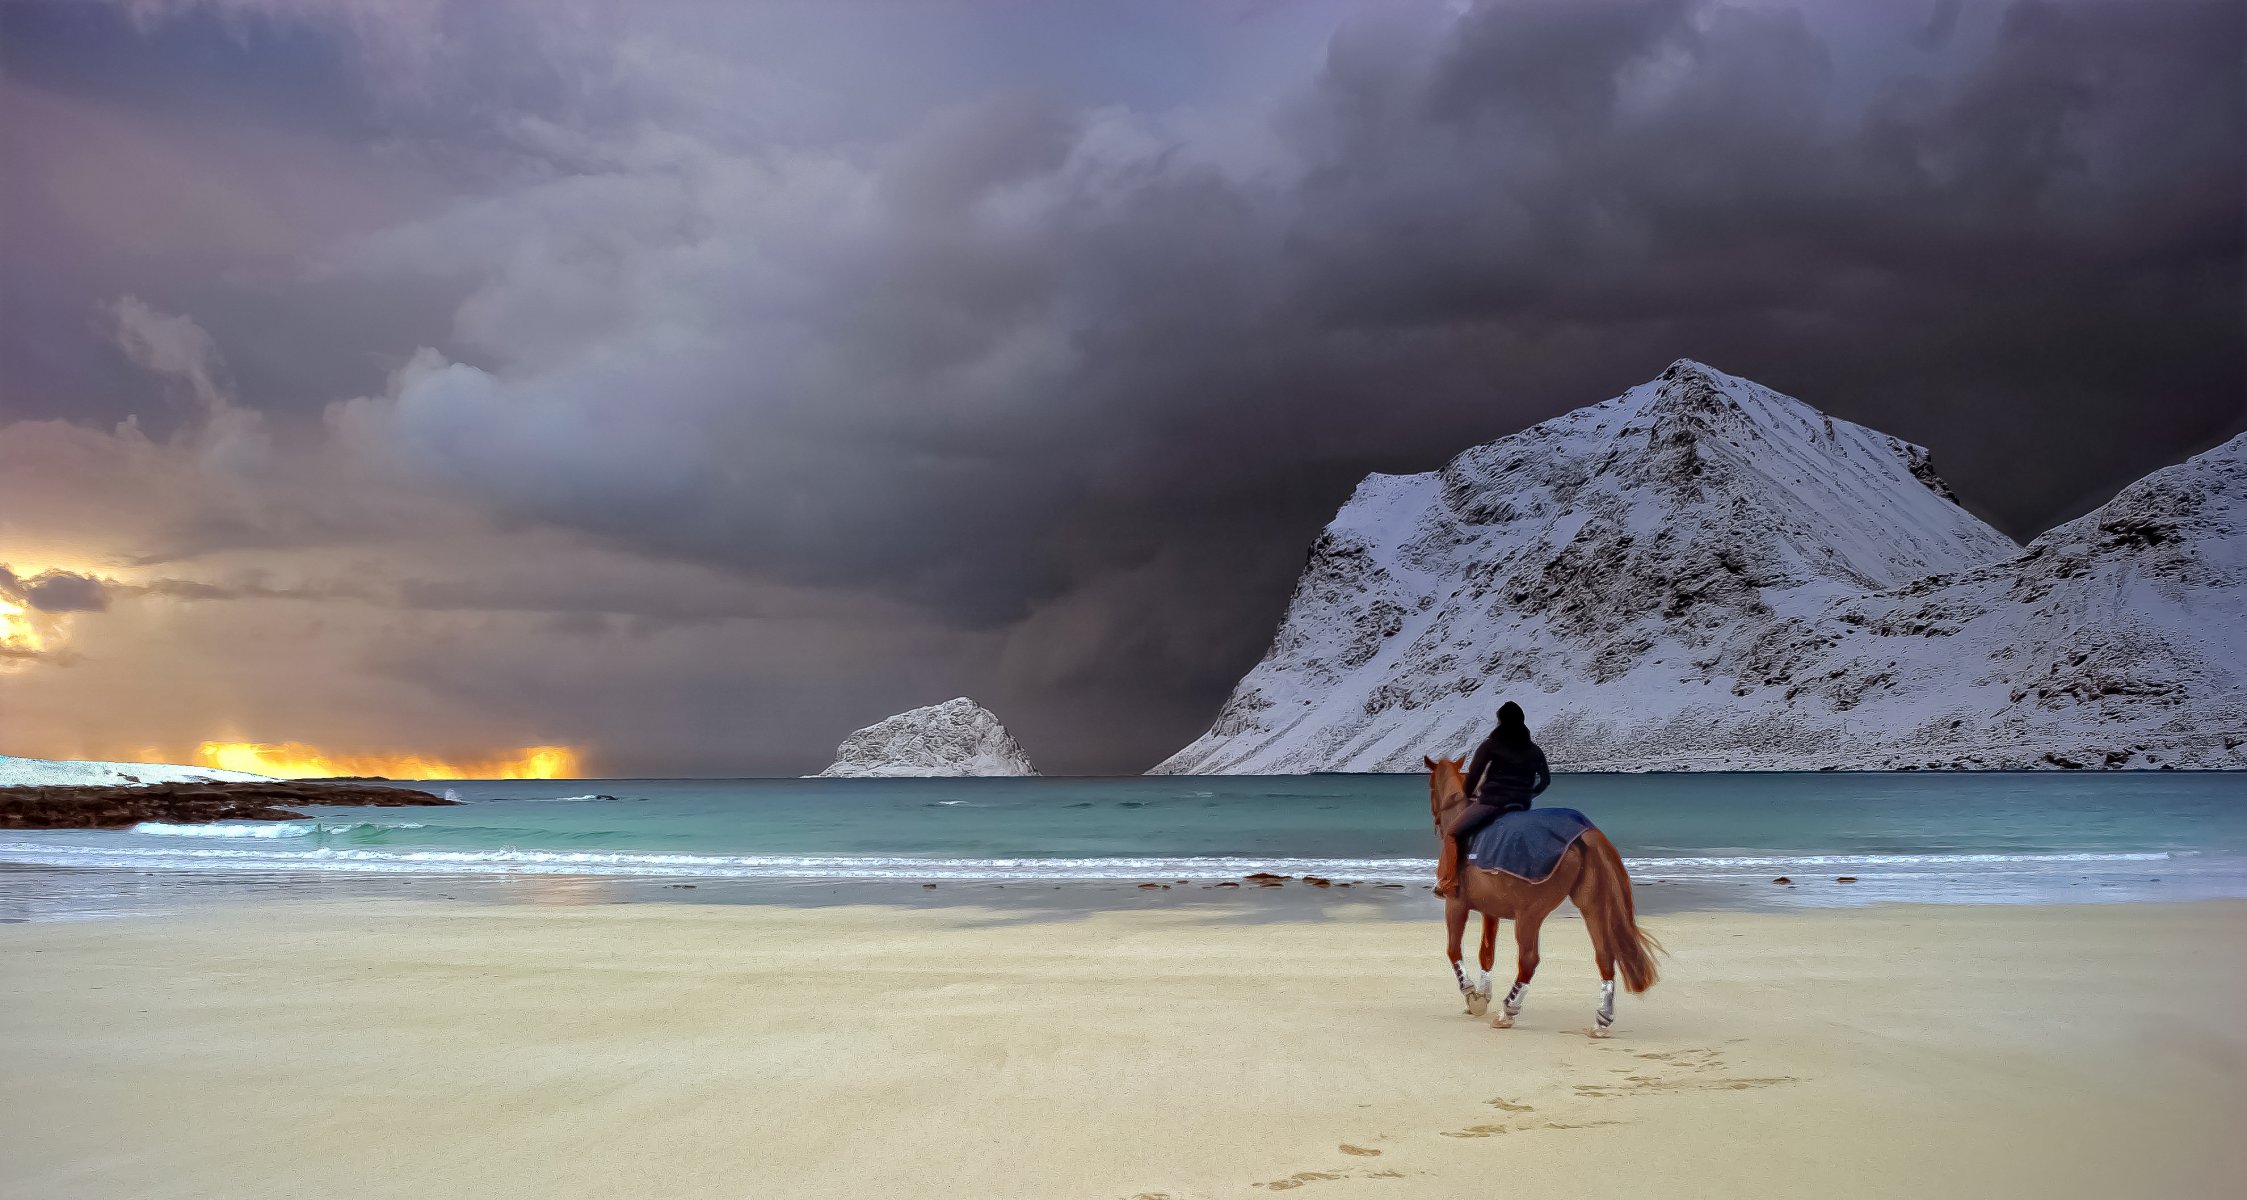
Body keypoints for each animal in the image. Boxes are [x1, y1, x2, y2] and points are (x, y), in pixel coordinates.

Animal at [1429, 759, 1662, 1038]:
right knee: (1604, 955)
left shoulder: (1456, 904)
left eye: (1431, 787)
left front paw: (1472, 995)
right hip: (1592, 905)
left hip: (1530, 914)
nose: (1436, 821)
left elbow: (1453, 950)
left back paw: (1507, 1013)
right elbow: (1487, 954)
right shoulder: (1490, 910)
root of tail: (1584, 831)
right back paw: (1602, 1020)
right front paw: (1483, 996)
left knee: (1528, 960)